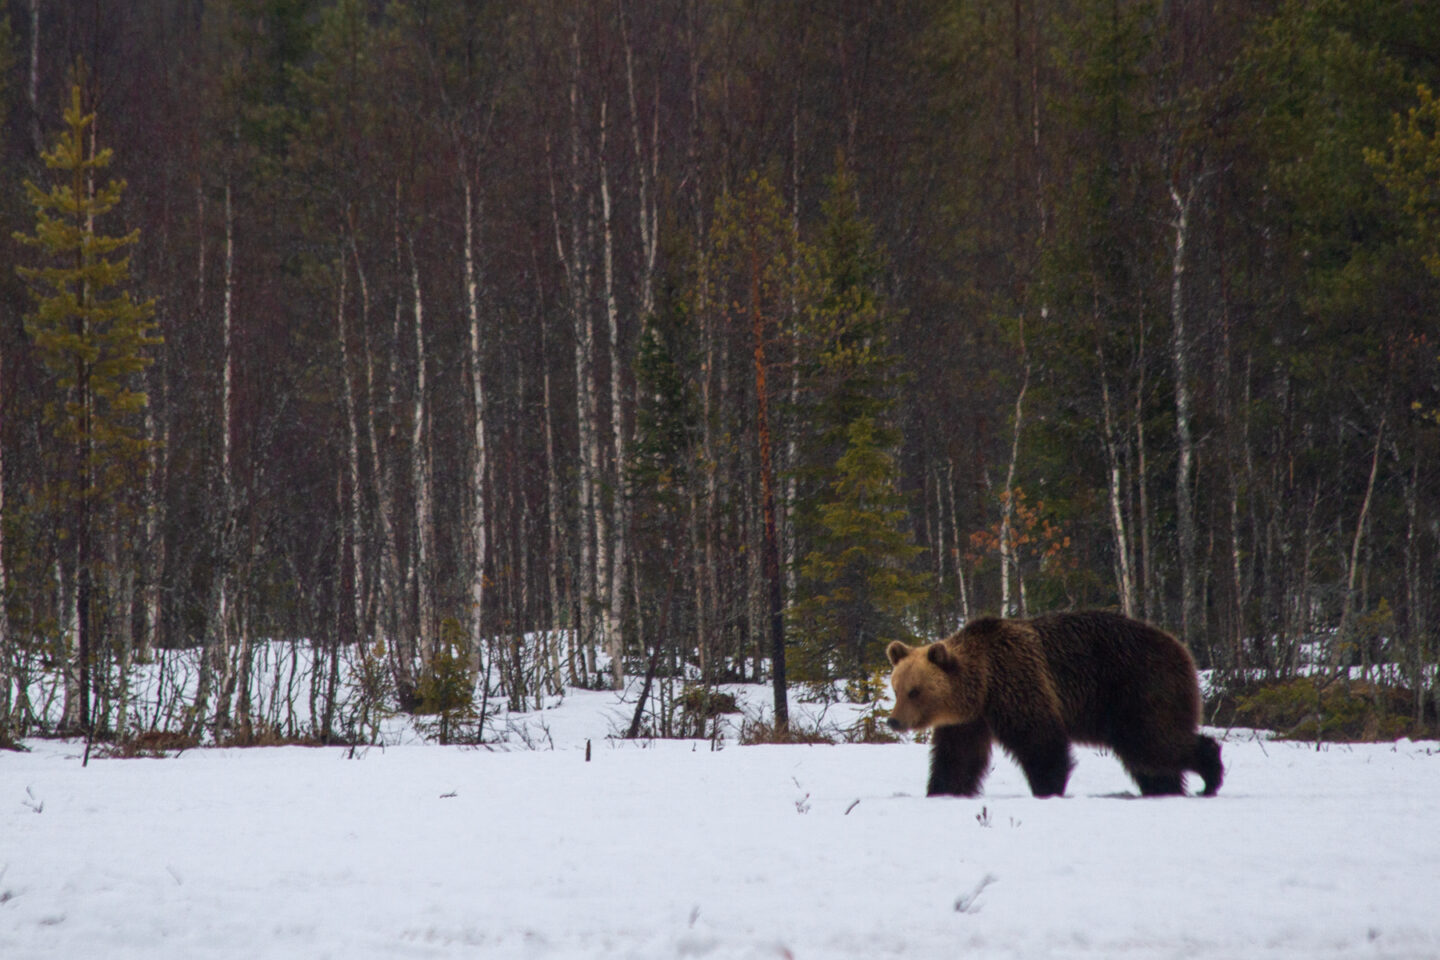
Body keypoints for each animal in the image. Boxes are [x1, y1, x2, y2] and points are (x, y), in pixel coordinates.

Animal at [886, 610, 1223, 798]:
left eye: (915, 691)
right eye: (896, 688)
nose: (894, 721)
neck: (983, 686)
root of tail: (1181, 648)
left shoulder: (1019, 684)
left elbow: (1041, 744)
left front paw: (1047, 788)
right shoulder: (967, 721)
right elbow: (957, 758)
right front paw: (941, 790)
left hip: (1140, 687)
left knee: (1154, 742)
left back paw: (1209, 778)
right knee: (1149, 758)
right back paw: (1164, 789)